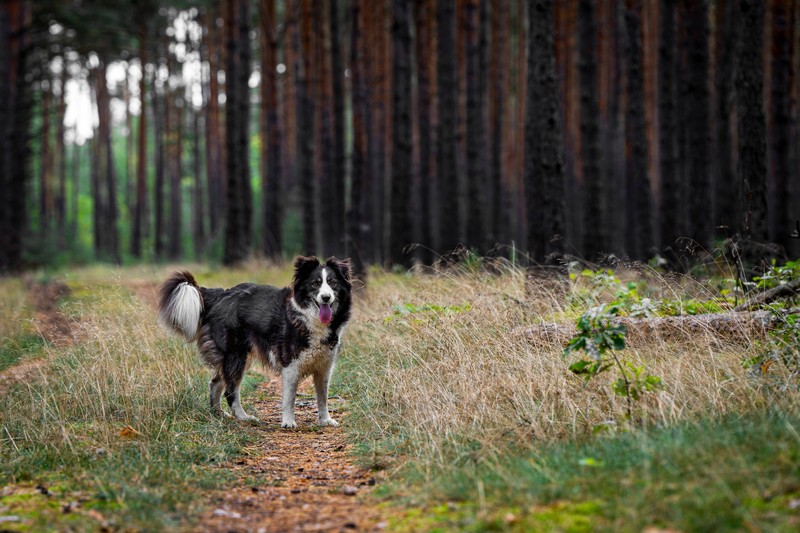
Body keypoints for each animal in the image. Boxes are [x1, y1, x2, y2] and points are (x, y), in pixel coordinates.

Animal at [158, 256, 352, 426]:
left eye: (333, 283)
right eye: (315, 283)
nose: (326, 298)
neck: (310, 318)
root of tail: (221, 295)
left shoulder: (324, 366)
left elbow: (323, 397)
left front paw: (325, 421)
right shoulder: (290, 364)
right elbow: (290, 398)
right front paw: (288, 422)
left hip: (235, 356)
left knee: (215, 383)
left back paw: (218, 414)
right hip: (236, 354)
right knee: (230, 390)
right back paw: (243, 417)